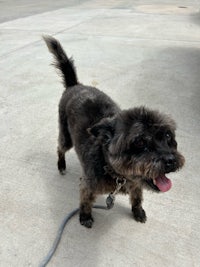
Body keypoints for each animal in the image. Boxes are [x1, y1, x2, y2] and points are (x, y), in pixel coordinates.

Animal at [43, 35, 184, 228]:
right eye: (140, 142)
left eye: (168, 136)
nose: (171, 160)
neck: (114, 170)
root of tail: (75, 85)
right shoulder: (88, 185)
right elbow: (85, 201)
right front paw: (85, 216)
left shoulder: (136, 184)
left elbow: (137, 198)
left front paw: (138, 211)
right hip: (66, 137)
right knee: (60, 148)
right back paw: (61, 166)